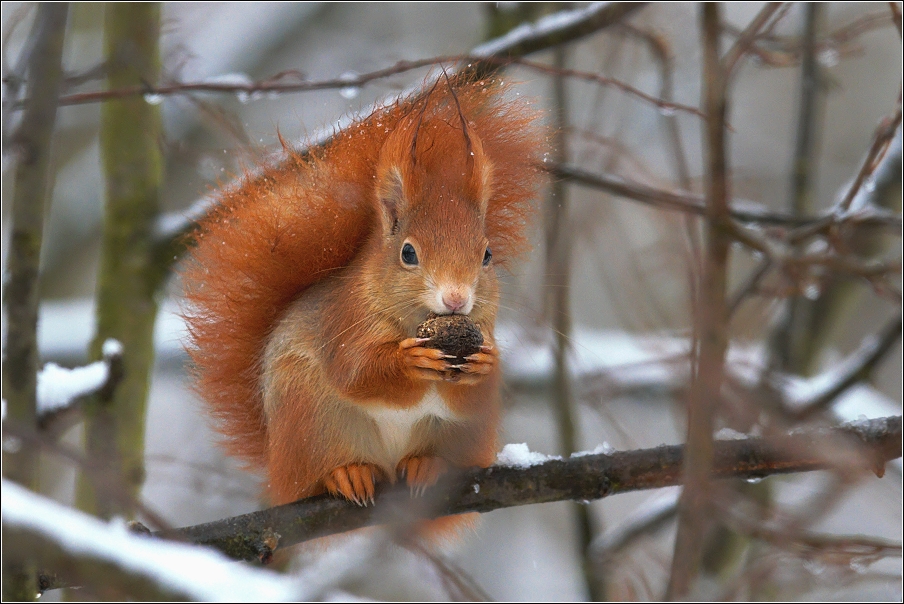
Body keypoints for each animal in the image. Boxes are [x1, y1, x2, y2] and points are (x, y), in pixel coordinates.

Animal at [180, 75, 540, 510]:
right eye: (407, 253)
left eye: (487, 255)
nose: (456, 299)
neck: (415, 322)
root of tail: (278, 465)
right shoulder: (344, 319)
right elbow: (355, 371)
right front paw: (409, 361)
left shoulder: (484, 329)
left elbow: (474, 398)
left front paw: (485, 365)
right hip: (310, 419)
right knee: (322, 469)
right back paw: (348, 473)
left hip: (462, 437)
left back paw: (426, 465)